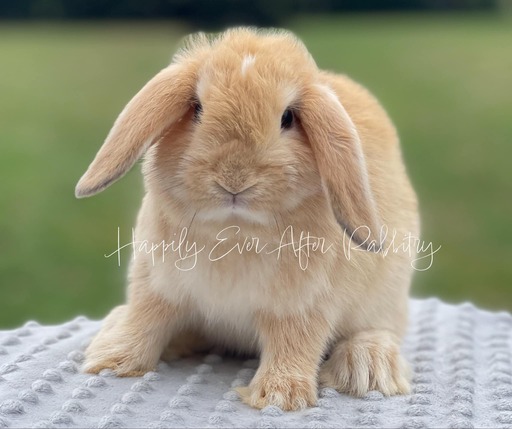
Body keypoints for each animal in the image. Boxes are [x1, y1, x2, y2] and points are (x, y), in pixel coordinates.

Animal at [76, 27, 420, 412]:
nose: (234, 179)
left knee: (378, 331)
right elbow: (145, 320)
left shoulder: (301, 306)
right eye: (197, 108)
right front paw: (112, 362)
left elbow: (294, 344)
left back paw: (367, 366)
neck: (234, 231)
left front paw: (280, 396)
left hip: (384, 302)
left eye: (288, 118)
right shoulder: (158, 285)